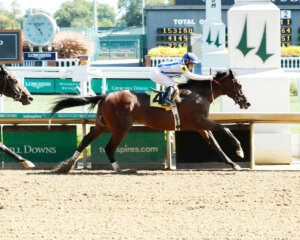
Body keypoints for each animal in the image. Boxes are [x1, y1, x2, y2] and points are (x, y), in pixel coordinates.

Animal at [51, 69, 251, 172]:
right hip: (121, 127)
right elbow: (226, 129)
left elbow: (215, 145)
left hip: (102, 125)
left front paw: (233, 164)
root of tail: (106, 95)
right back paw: (118, 168)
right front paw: (239, 151)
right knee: (109, 147)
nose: (247, 102)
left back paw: (66, 166)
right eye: (239, 84)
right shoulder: (200, 122)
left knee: (85, 140)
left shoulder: (201, 126)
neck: (198, 94)